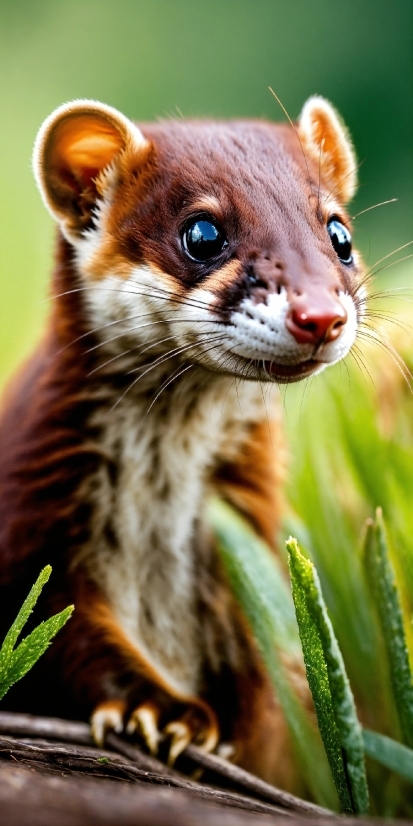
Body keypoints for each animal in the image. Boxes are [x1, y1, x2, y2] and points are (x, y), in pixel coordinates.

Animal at [0, 93, 364, 788]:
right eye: (203, 233)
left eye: (339, 234)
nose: (320, 314)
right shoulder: (29, 520)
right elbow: (62, 637)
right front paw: (165, 714)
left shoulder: (248, 532)